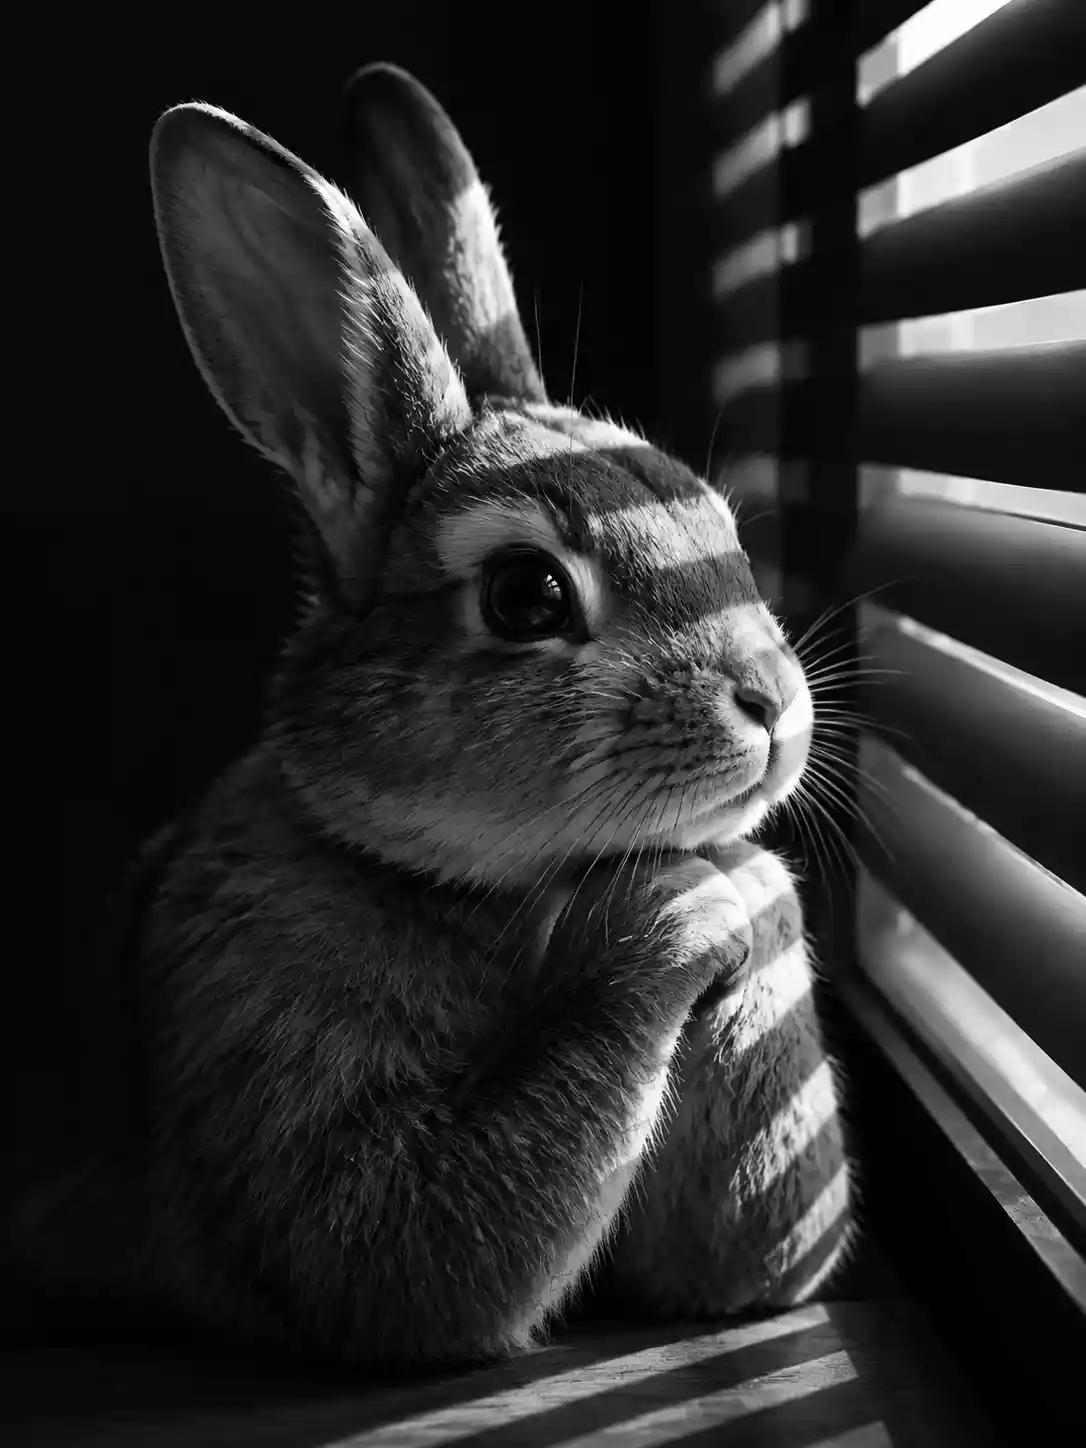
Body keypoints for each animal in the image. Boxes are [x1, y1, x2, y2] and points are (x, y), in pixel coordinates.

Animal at [12, 63, 853, 1367]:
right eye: (527, 595)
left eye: (718, 521)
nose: (770, 704)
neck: (456, 880)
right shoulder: (269, 1040)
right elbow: (412, 1256)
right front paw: (688, 905)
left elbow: (748, 1266)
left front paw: (750, 887)